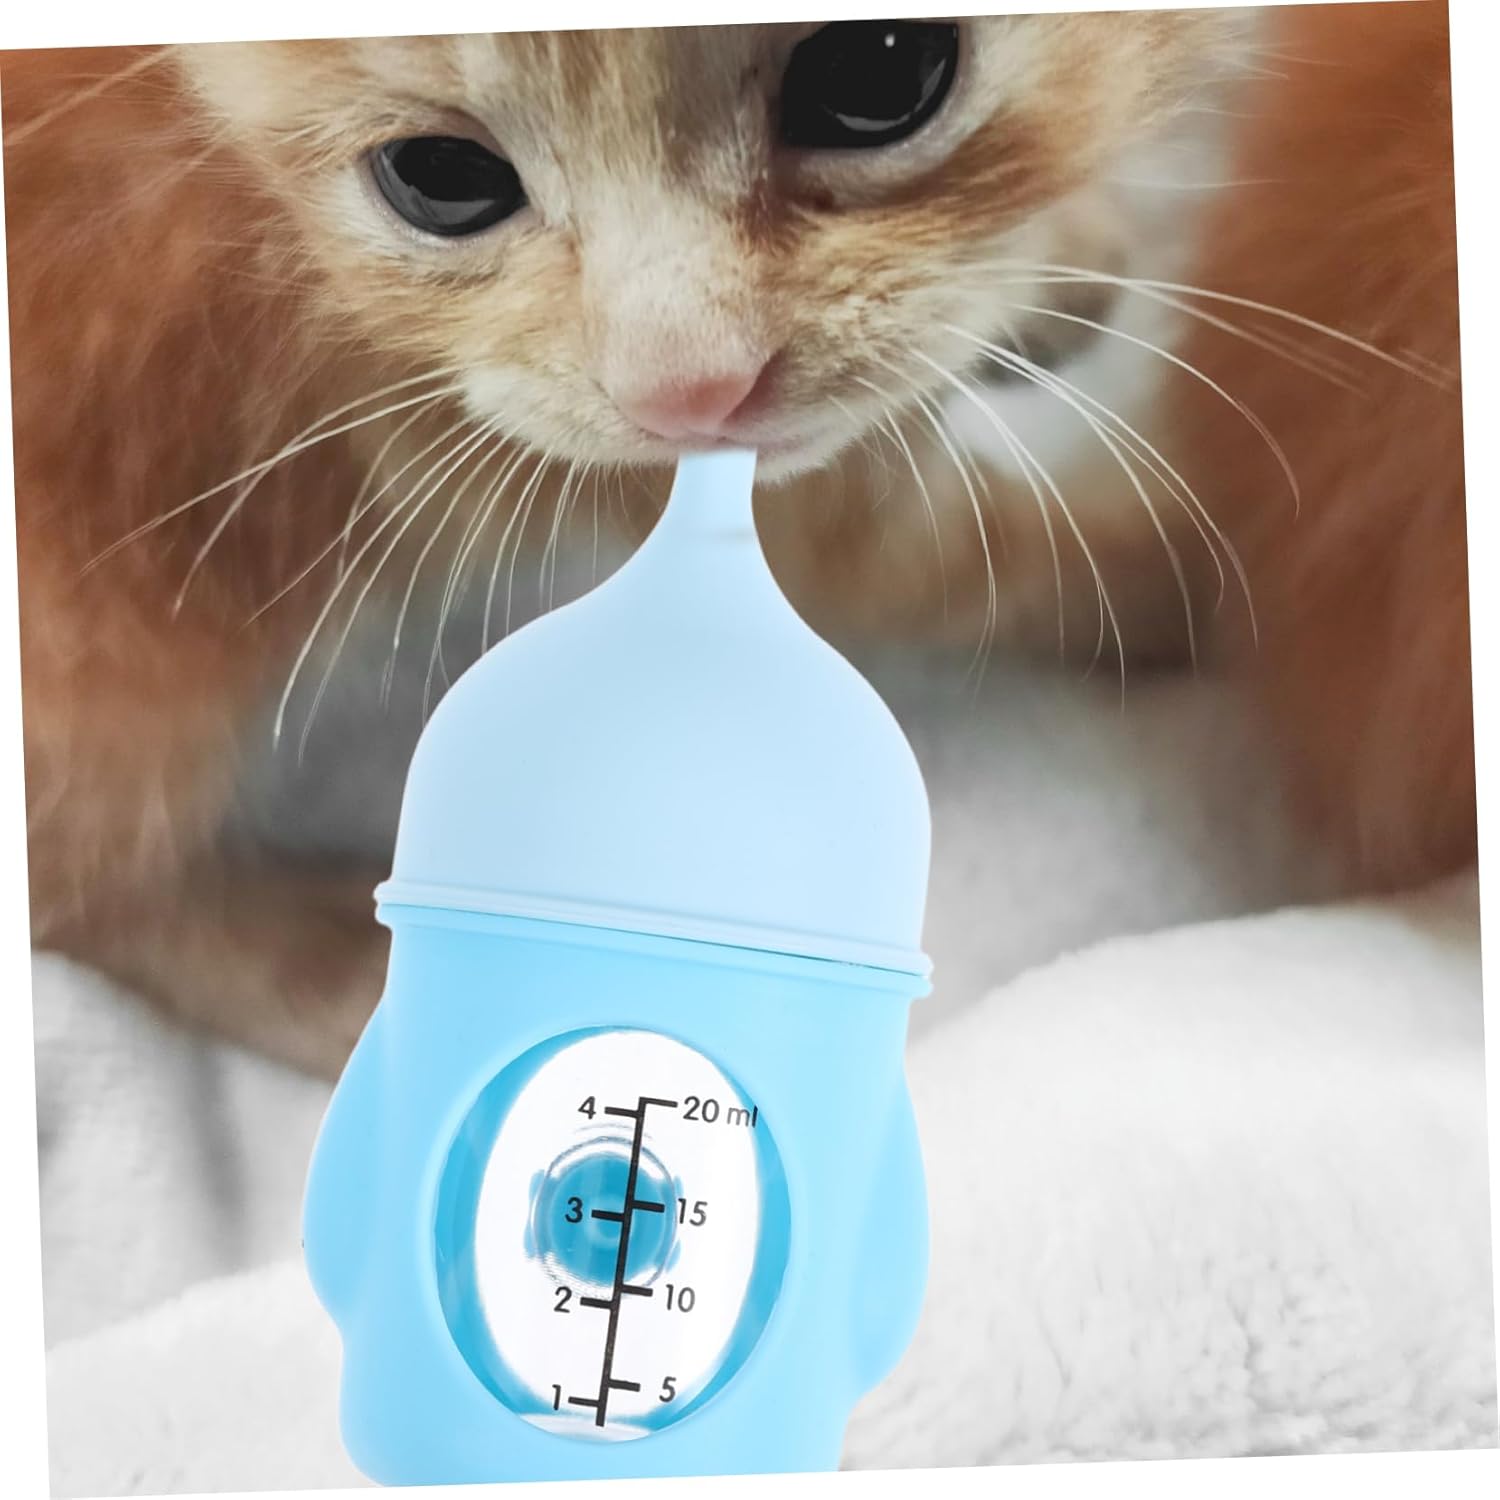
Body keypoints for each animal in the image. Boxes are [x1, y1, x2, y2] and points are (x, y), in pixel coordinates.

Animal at [1, 7, 1466, 1079]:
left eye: (878, 72)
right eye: (437, 179)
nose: (688, 388)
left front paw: (1055, 267)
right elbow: (938, 555)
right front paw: (1221, 567)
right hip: (99, 638)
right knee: (78, 876)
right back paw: (338, 970)